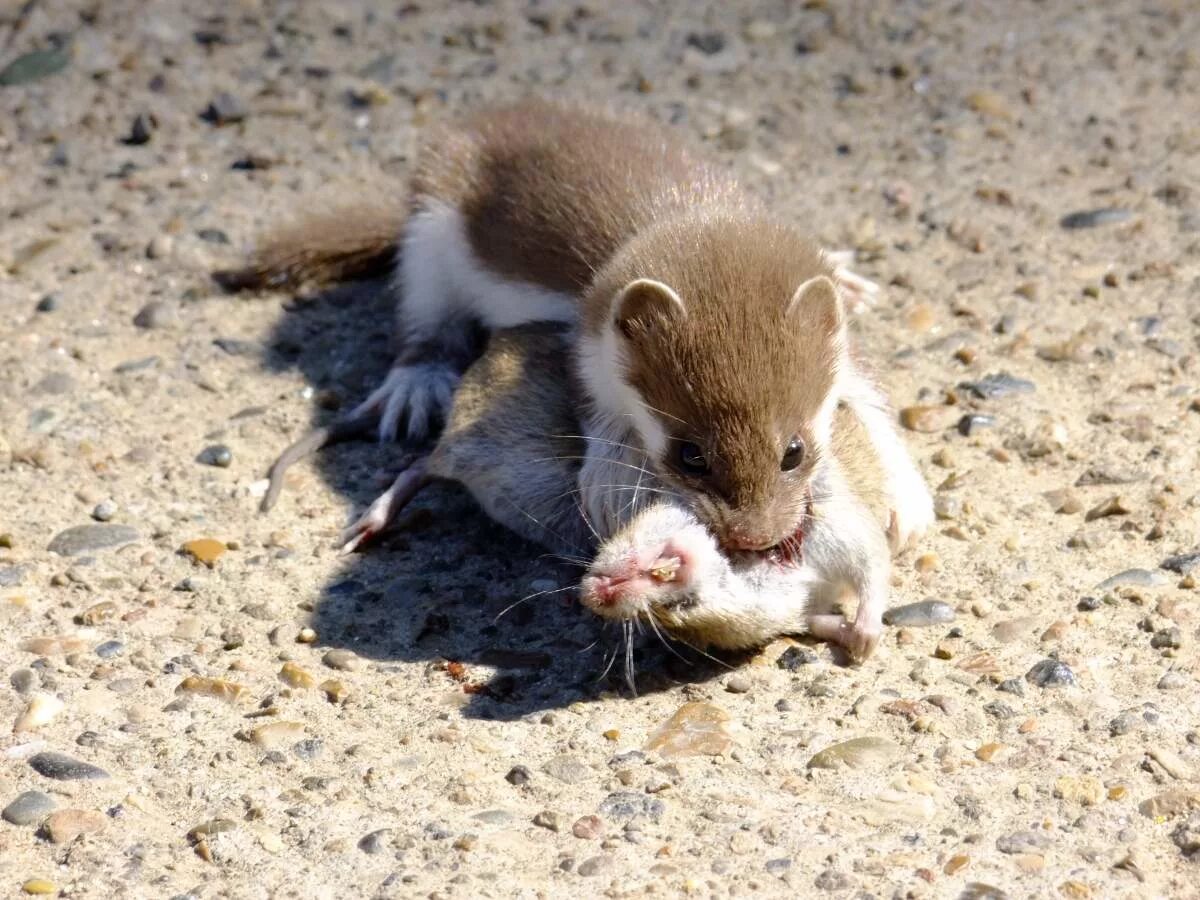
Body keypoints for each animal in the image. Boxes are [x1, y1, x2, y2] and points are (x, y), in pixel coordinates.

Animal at [220, 100, 931, 564]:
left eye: (794, 451)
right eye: (689, 455)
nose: (756, 539)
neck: (694, 216)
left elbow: (869, 398)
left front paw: (905, 500)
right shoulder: (585, 344)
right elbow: (596, 416)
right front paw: (610, 487)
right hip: (430, 230)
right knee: (424, 322)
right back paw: (414, 387)